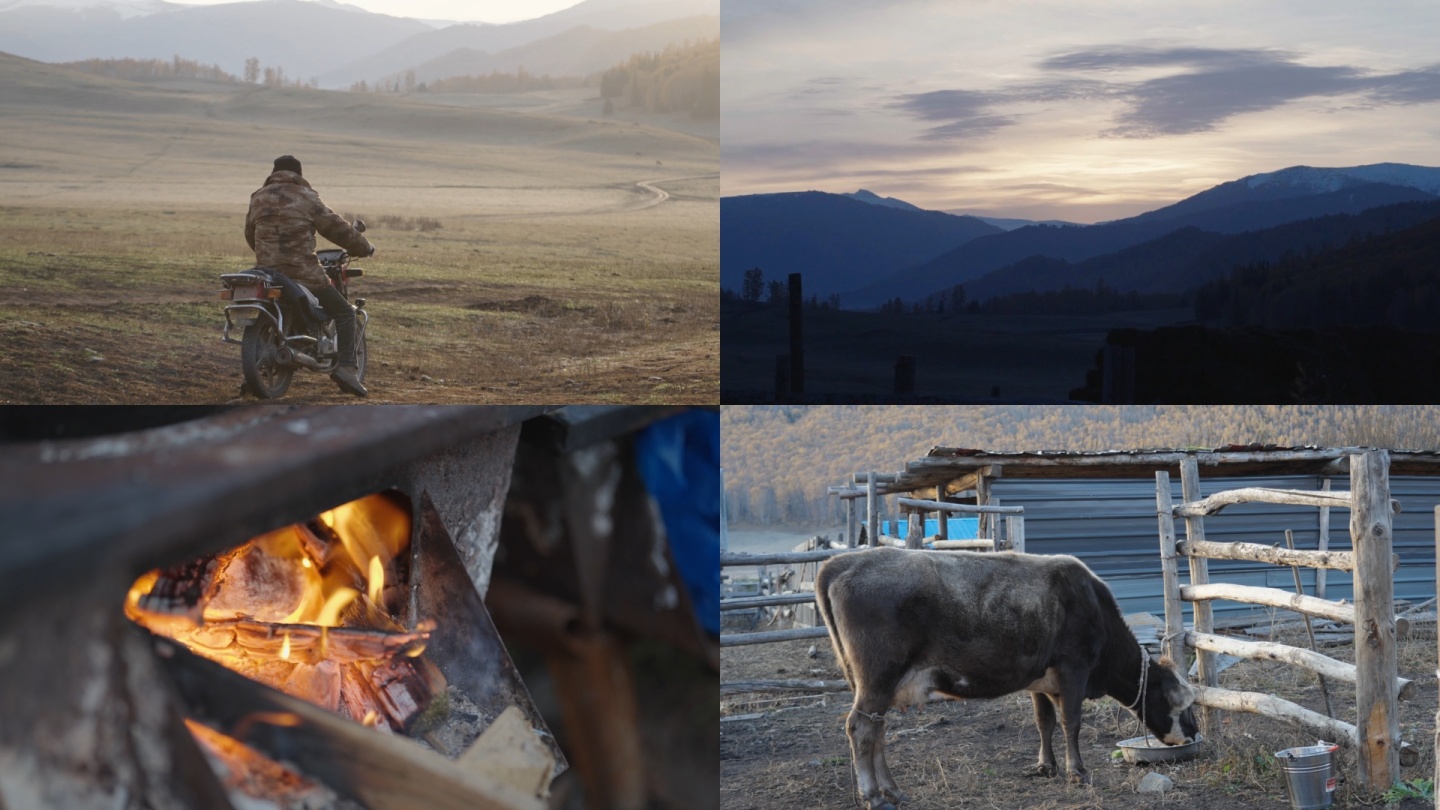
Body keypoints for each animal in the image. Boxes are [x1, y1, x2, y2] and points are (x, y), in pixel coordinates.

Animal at [817, 544, 1198, 801]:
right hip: (878, 676)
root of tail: (842, 562)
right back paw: (874, 795)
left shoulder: (1040, 679)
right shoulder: (1073, 666)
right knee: (861, 728)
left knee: (876, 729)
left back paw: (894, 791)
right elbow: (1070, 721)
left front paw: (1047, 766)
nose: (1195, 734)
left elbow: (1044, 721)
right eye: (1185, 704)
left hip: (877, 683)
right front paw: (1078, 772)